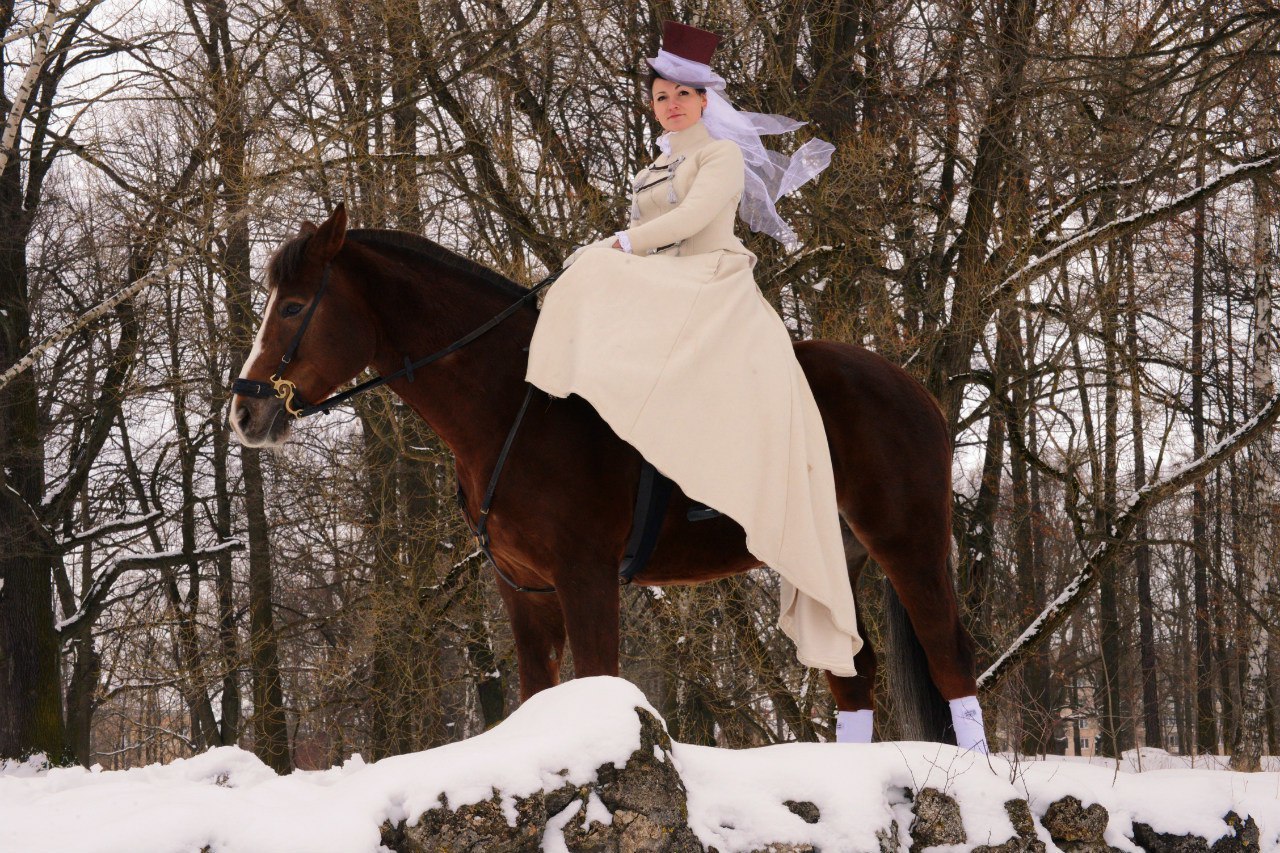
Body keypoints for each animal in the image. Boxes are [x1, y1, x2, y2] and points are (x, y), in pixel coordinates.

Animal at [230, 204, 972, 737]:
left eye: (292, 306)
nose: (245, 411)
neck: (519, 405)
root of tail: (912, 388)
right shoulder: (524, 591)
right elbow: (539, 692)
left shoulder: (584, 576)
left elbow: (597, 675)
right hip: (831, 561)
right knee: (853, 674)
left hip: (908, 544)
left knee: (949, 660)